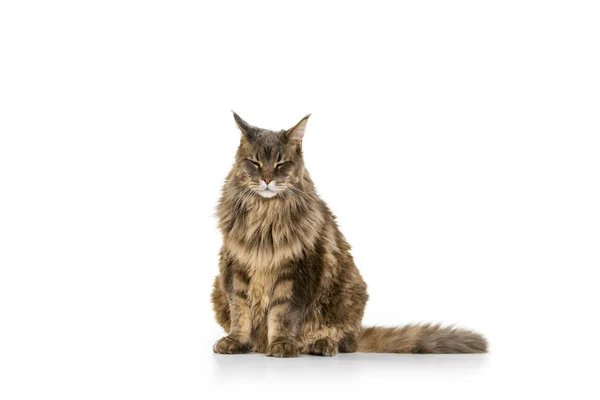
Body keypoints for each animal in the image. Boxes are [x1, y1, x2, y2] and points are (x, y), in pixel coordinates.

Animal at [211, 111, 488, 356]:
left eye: (281, 164)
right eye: (255, 163)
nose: (267, 179)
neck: (264, 214)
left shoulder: (298, 269)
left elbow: (283, 314)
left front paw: (282, 344)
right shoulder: (234, 267)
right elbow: (240, 312)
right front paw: (237, 341)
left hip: (350, 292)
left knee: (340, 338)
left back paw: (319, 345)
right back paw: (259, 346)